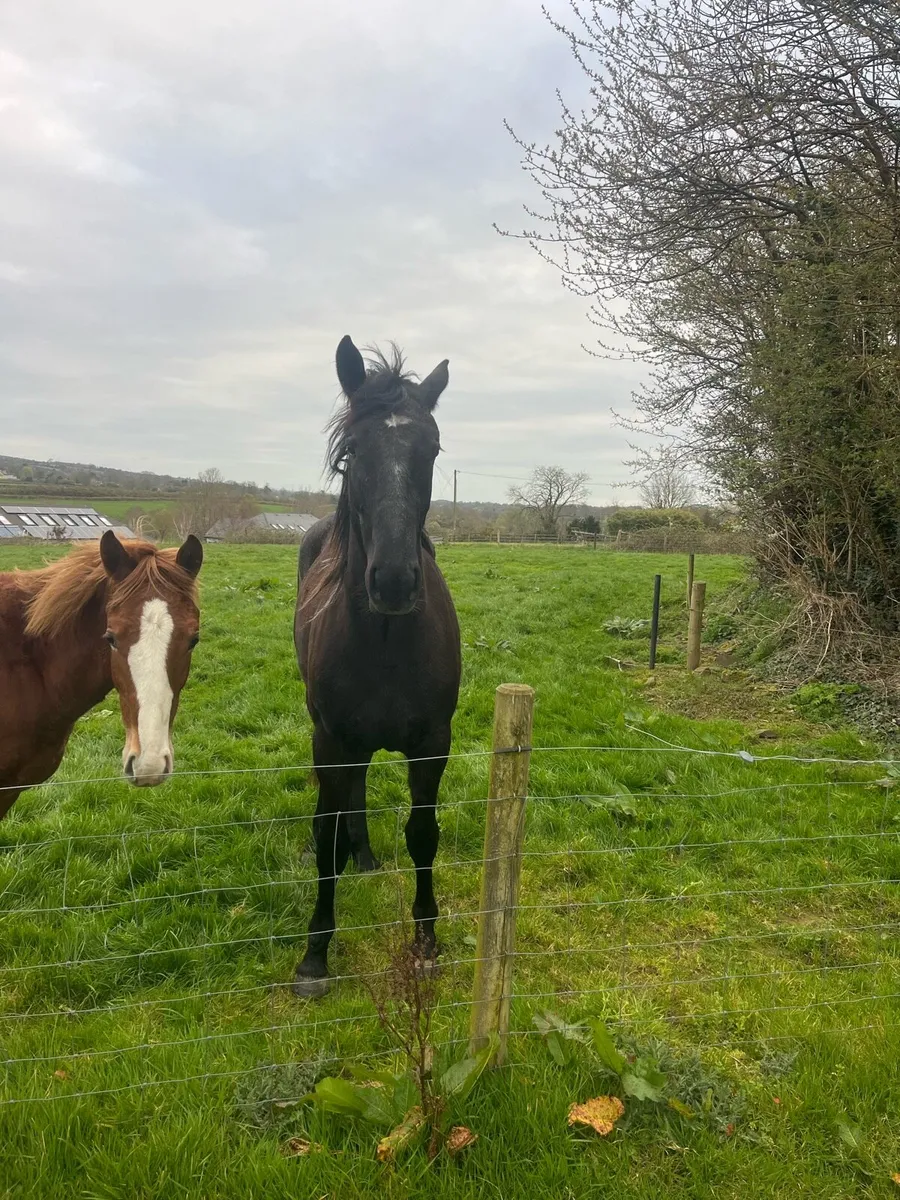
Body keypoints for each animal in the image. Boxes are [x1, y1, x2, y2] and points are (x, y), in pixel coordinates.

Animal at [292, 335, 461, 997]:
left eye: (431, 448)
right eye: (353, 451)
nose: (392, 581)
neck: (388, 640)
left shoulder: (432, 743)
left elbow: (423, 834)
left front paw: (427, 940)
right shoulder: (330, 738)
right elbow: (324, 831)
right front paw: (315, 954)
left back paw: (363, 857)